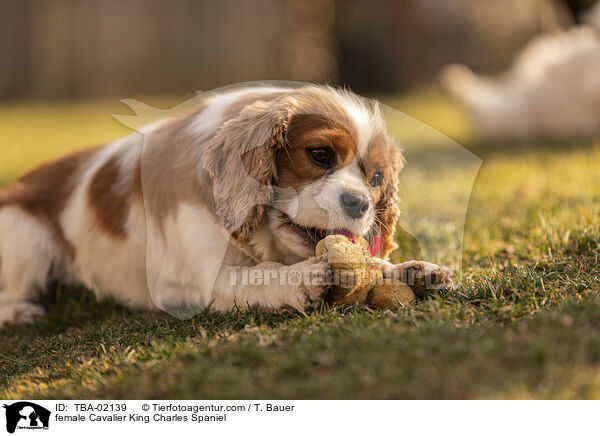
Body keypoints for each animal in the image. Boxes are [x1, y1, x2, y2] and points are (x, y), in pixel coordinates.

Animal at [0, 84, 450, 328]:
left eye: (376, 180)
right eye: (320, 154)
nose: (359, 205)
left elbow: (375, 265)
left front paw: (409, 271)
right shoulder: (198, 279)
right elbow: (255, 276)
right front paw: (302, 278)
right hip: (25, 234)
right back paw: (19, 312)